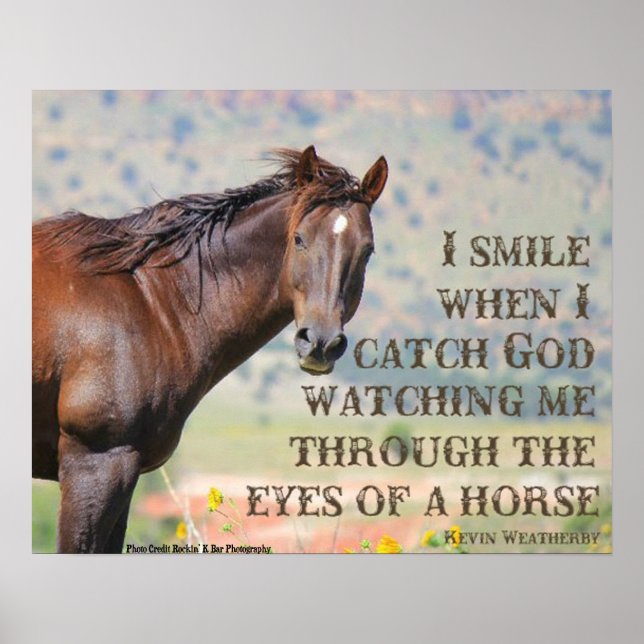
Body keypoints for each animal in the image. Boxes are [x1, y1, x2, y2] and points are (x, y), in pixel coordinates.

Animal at [32, 145, 388, 553]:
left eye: (367, 251)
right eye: (299, 239)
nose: (321, 343)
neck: (151, 299)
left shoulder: (122, 470)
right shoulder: (95, 464)